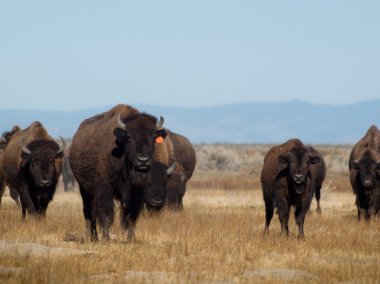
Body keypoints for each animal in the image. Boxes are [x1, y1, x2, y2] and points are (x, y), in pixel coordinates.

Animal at [69, 104, 166, 242]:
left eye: (153, 137)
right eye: (129, 137)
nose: (143, 161)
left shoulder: (134, 192)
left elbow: (130, 215)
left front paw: (131, 239)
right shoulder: (105, 187)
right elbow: (107, 214)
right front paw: (106, 239)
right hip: (84, 188)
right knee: (88, 211)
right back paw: (91, 237)